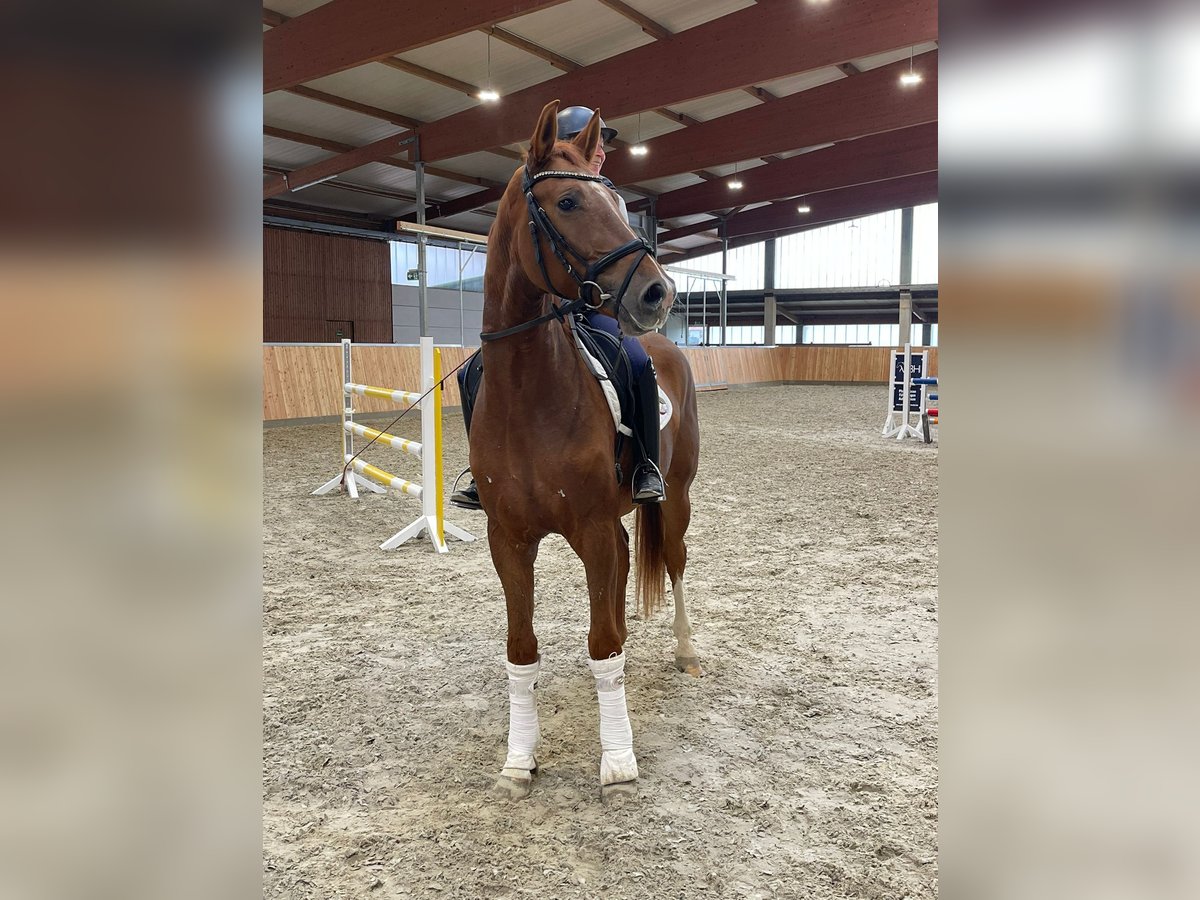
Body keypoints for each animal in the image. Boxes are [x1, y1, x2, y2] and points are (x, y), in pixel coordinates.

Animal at [471, 100, 701, 801]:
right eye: (568, 200)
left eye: (619, 203)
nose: (659, 293)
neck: (529, 395)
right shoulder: (509, 539)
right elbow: (522, 649)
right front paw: (518, 761)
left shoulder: (592, 527)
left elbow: (601, 645)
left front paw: (618, 761)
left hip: (676, 497)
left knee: (674, 563)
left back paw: (686, 651)